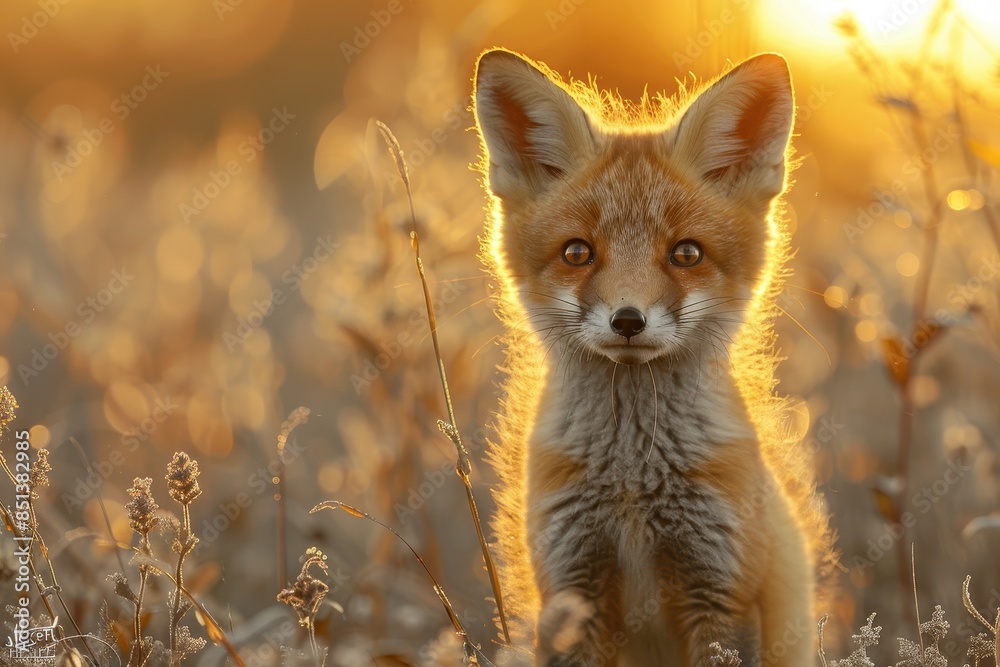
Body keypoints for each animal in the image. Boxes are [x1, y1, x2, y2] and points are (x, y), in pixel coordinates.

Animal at [472, 48, 834, 666]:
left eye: (686, 254)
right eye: (577, 253)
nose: (627, 320)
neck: (632, 482)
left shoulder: (721, 590)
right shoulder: (572, 588)